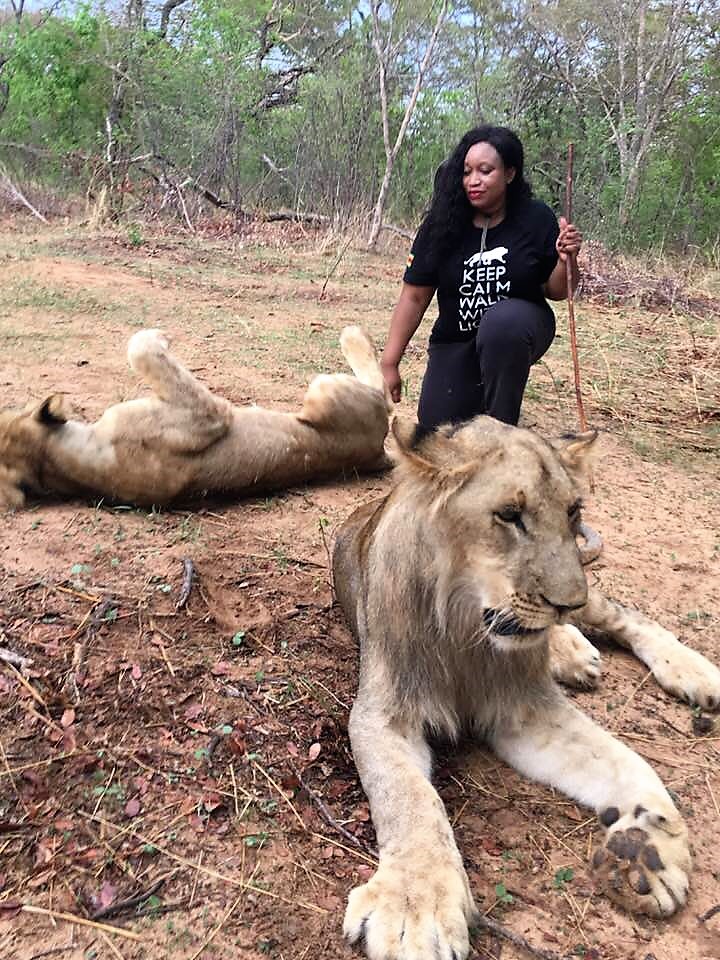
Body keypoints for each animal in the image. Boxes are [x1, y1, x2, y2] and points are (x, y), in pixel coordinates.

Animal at [0, 326, 388, 510]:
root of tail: (376, 455)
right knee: (382, 390)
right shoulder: (211, 415)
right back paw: (354, 334)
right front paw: (159, 336)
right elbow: (139, 347)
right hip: (325, 390)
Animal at [334, 418, 720, 960]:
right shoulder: (385, 714)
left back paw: (685, 670)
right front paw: (417, 905)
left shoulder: (528, 708)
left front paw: (650, 849)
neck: (468, 630)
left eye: (573, 511)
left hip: (591, 594)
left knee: (621, 614)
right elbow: (410, 799)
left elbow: (625, 760)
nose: (565, 602)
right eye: (509, 515)